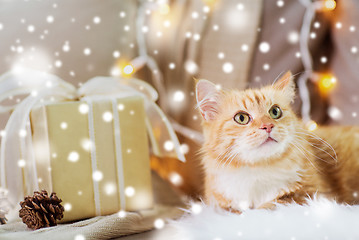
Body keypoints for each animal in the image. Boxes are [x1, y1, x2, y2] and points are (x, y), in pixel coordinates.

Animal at [195, 71, 359, 212]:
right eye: (241, 118)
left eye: (275, 111)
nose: (267, 126)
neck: (258, 170)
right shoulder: (220, 204)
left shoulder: (311, 193)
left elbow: (272, 204)